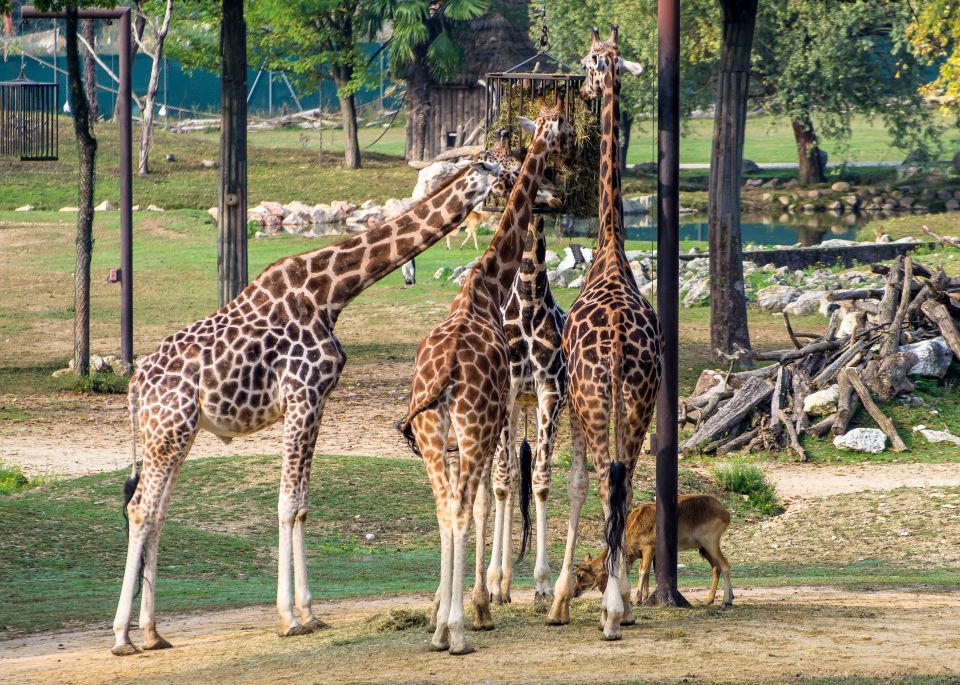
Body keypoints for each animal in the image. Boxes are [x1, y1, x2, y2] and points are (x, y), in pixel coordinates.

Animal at [109, 158, 506, 656]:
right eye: (493, 168)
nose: (514, 180)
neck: (330, 293)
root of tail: (135, 384)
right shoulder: (302, 395)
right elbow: (285, 503)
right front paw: (288, 619)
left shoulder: (318, 401)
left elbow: (300, 505)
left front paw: (310, 613)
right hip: (168, 428)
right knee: (141, 509)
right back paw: (122, 636)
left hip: (175, 432)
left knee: (157, 511)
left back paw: (152, 632)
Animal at [396, 97, 568, 652]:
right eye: (556, 131)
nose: (556, 197)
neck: (490, 288)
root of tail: (445, 377)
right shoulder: (499, 408)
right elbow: (494, 493)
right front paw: (480, 601)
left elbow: (501, 492)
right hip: (473, 427)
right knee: (465, 502)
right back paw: (462, 624)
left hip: (440, 433)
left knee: (446, 506)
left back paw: (445, 625)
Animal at [568, 492, 736, 608]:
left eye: (579, 575)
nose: (574, 592)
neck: (633, 525)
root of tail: (725, 512)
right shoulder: (648, 554)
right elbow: (649, 572)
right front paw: (644, 596)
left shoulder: (649, 549)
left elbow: (643, 571)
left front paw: (637, 599)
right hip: (704, 548)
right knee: (716, 568)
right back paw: (712, 599)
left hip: (711, 543)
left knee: (725, 566)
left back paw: (726, 601)